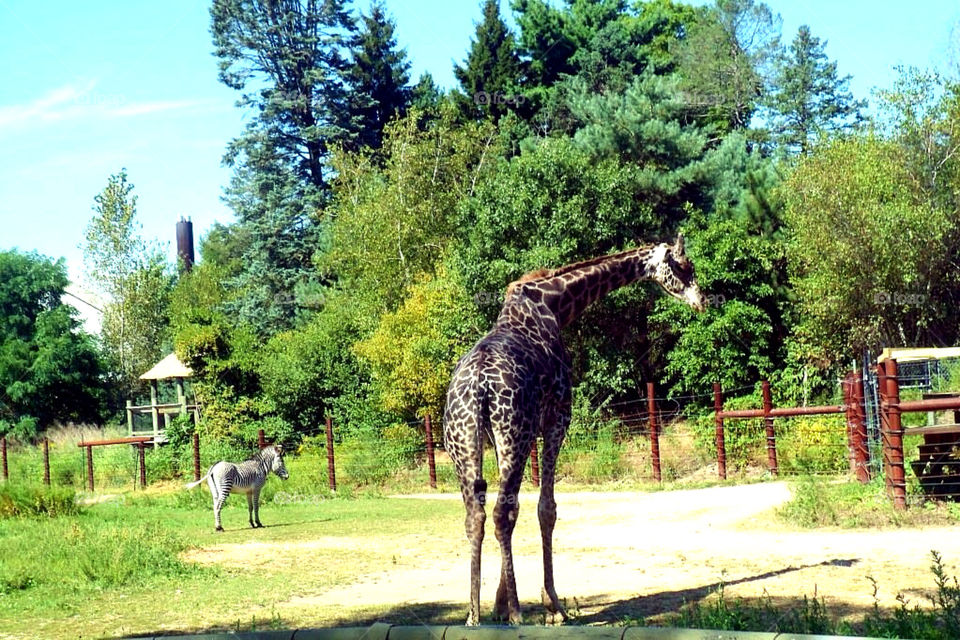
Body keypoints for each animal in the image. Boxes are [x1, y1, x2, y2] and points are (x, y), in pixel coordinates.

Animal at [442, 235, 704, 624]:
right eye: (683, 266)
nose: (702, 300)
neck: (556, 303)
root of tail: (477, 387)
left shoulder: (521, 432)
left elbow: (523, 508)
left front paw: (499, 604)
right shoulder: (556, 419)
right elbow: (546, 508)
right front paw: (552, 604)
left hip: (463, 442)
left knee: (476, 514)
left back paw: (474, 614)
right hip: (513, 434)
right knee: (502, 512)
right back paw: (518, 614)